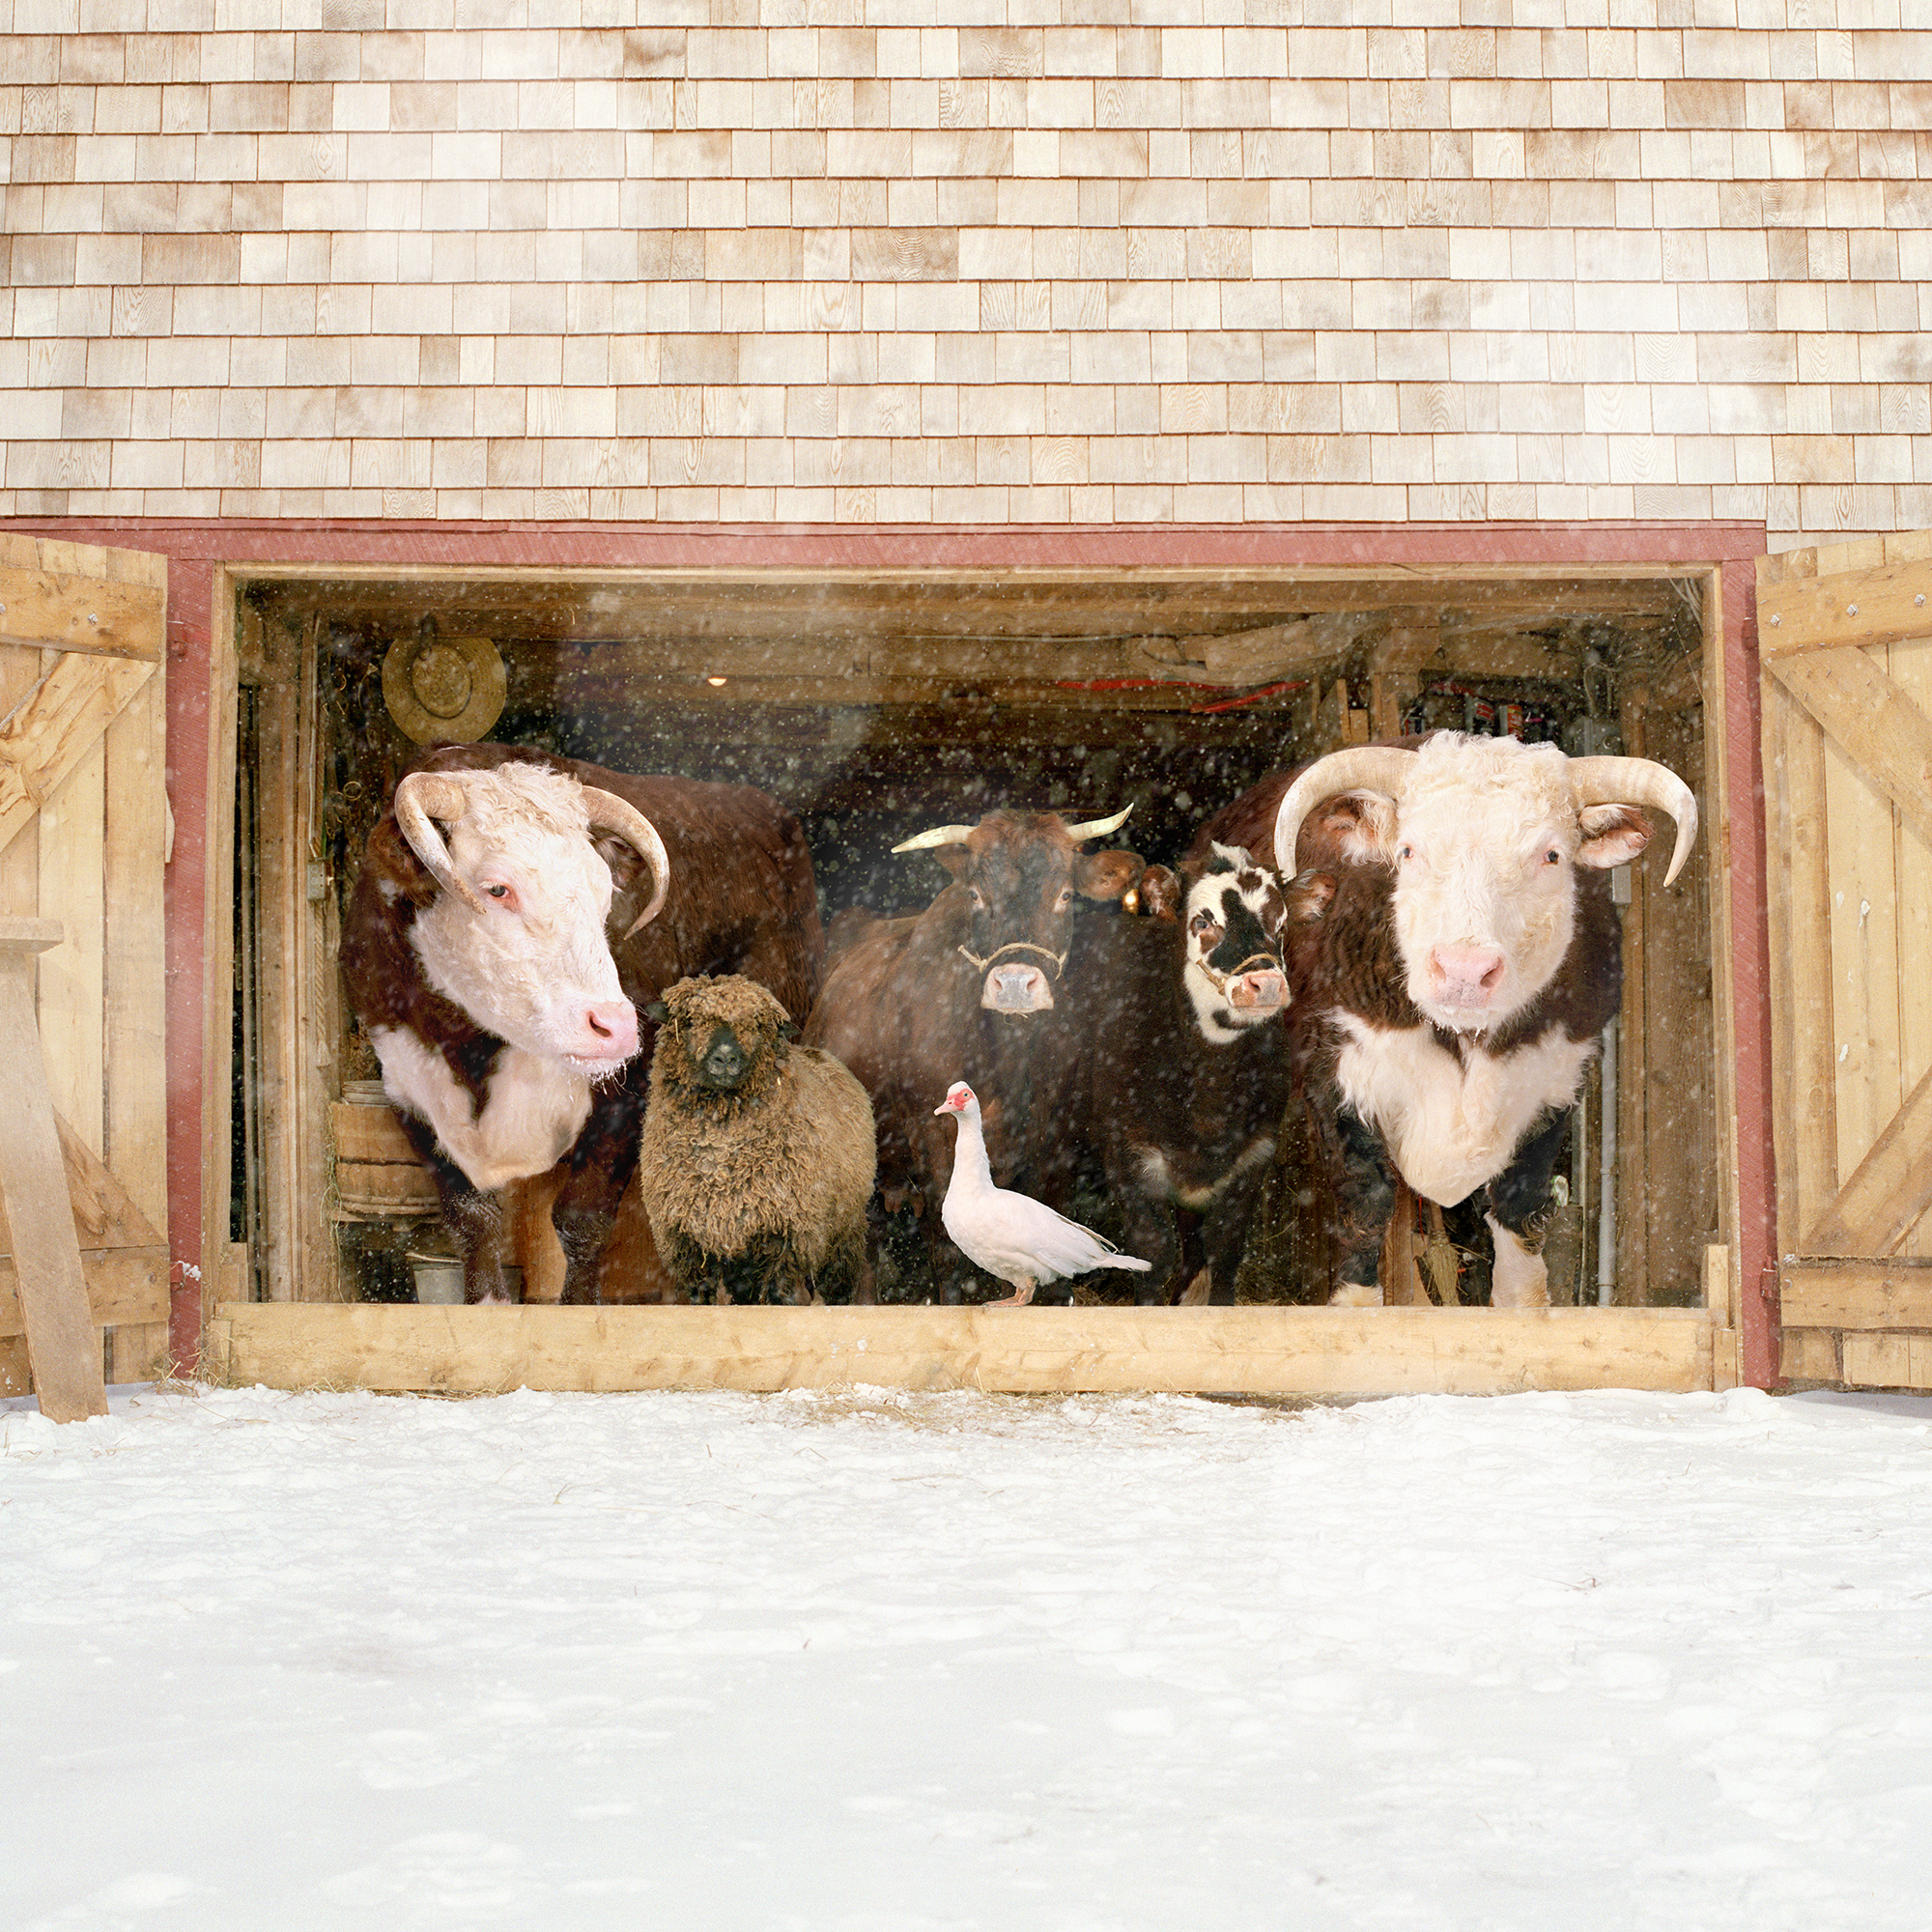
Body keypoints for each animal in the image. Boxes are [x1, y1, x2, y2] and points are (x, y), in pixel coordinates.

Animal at [344, 746, 827, 1306]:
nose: (616, 1025)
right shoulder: (407, 1090)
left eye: (604, 893)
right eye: (497, 889)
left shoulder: (629, 1092)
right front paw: (486, 1301)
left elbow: (582, 1219)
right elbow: (472, 1220)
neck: (469, 1051)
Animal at [634, 974, 877, 1306]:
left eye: (756, 1025)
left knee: (838, 1282)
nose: (725, 1057)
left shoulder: (787, 1230)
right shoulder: (686, 1239)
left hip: (844, 1228)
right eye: (690, 1020)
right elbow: (701, 1297)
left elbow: (777, 1291)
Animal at [804, 800, 1144, 1298]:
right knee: (867, 1240)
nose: (1015, 985)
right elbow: (945, 1245)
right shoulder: (931, 1136)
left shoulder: (1057, 1136)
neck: (1009, 1061)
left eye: (1065, 895)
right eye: (977, 896)